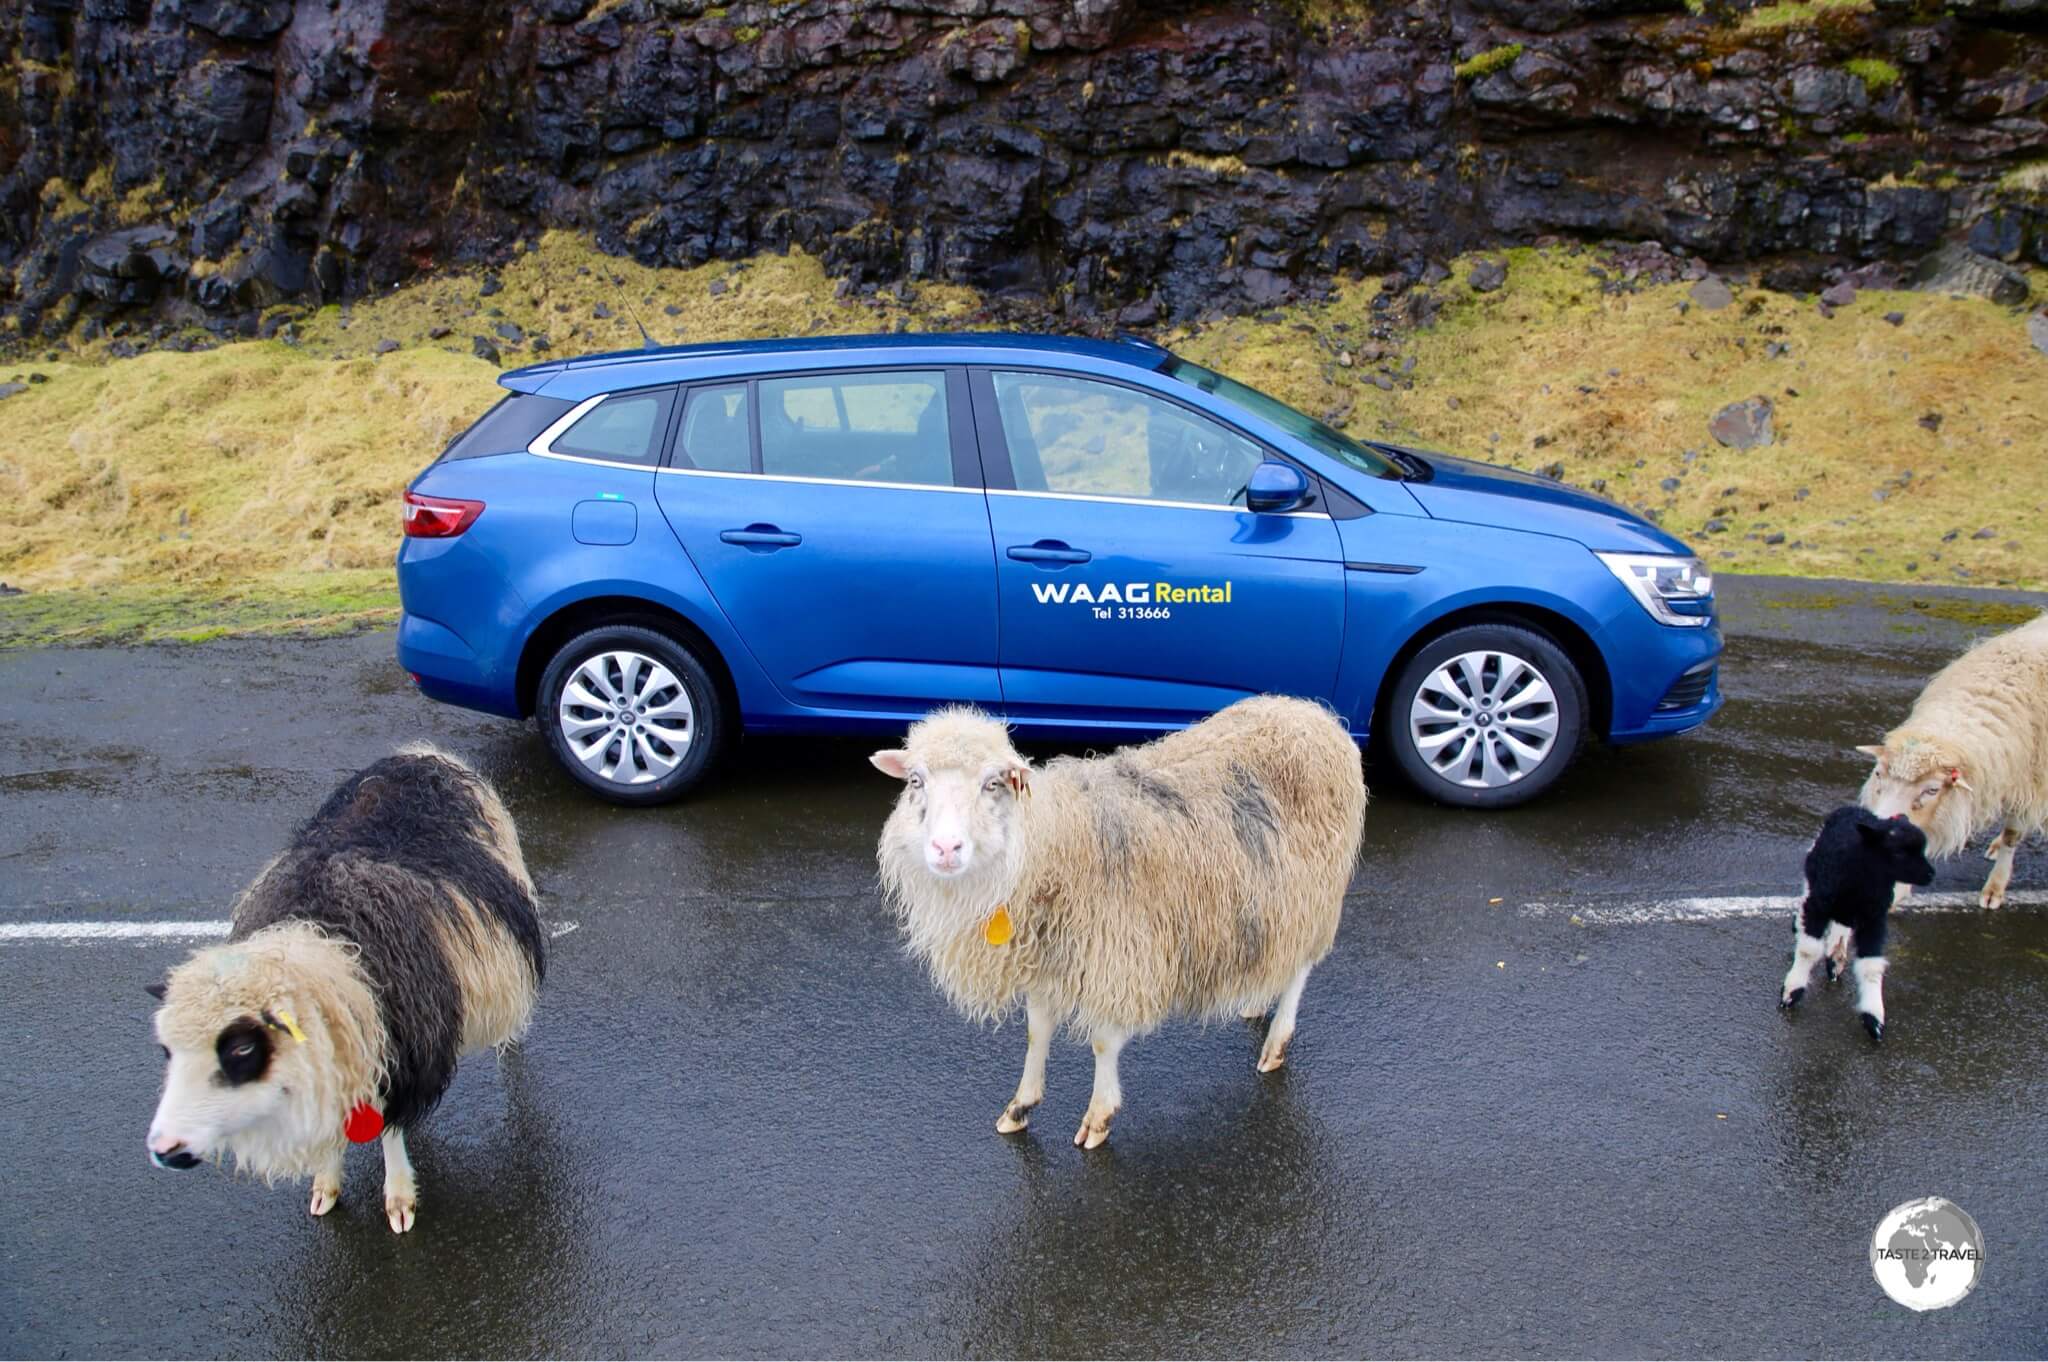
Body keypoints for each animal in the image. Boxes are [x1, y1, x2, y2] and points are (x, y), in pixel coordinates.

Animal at [872, 692, 1368, 1146]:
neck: (1048, 847)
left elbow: (1103, 1042)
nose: (945, 849)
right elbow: (1036, 1031)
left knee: (1301, 968)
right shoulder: (1049, 954)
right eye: (915, 780)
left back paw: (1276, 1042)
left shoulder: (1118, 952)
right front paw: (1021, 1105)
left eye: (994, 783)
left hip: (1313, 893)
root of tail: (1313, 714)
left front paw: (1099, 1117)